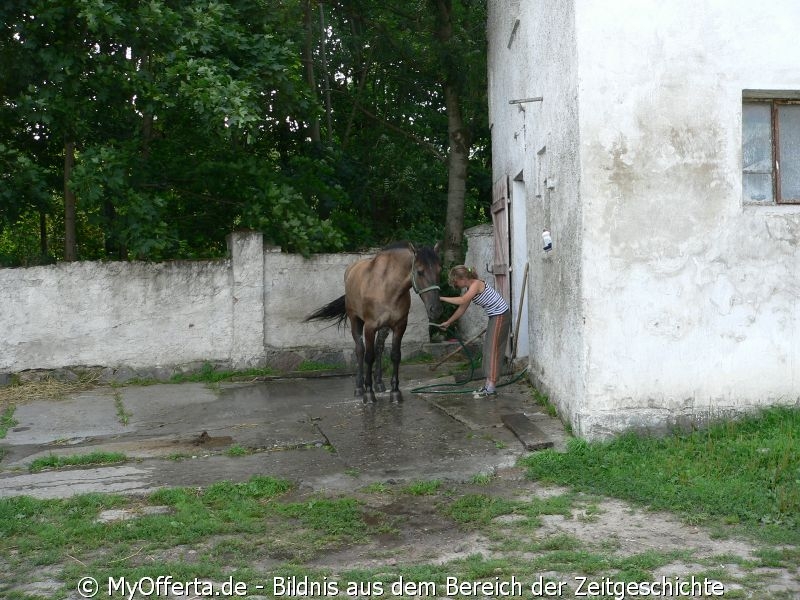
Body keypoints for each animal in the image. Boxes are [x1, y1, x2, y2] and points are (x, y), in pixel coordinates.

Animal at [306, 241, 444, 400]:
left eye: (440, 270)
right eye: (420, 271)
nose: (436, 309)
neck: (387, 287)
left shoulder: (399, 326)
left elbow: (395, 355)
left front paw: (395, 392)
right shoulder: (369, 327)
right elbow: (368, 356)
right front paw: (369, 393)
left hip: (384, 327)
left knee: (379, 348)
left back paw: (378, 383)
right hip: (355, 321)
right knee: (360, 350)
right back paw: (359, 387)